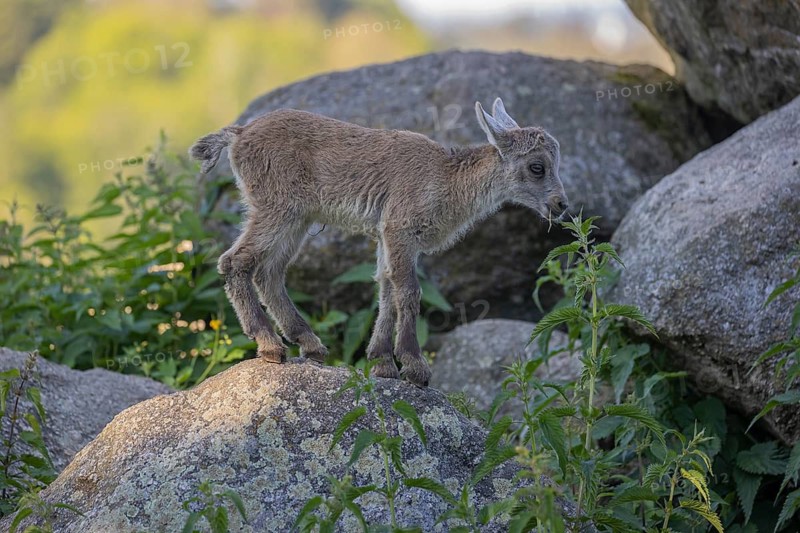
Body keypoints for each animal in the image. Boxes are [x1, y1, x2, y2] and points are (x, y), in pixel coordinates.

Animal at [190, 98, 569, 387]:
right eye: (537, 167)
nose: (561, 205)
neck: (446, 180)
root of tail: (239, 135)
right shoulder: (400, 229)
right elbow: (409, 292)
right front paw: (414, 367)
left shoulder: (387, 238)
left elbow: (386, 289)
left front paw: (382, 362)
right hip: (276, 209)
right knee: (236, 261)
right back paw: (270, 346)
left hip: (297, 219)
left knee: (269, 272)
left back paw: (310, 346)